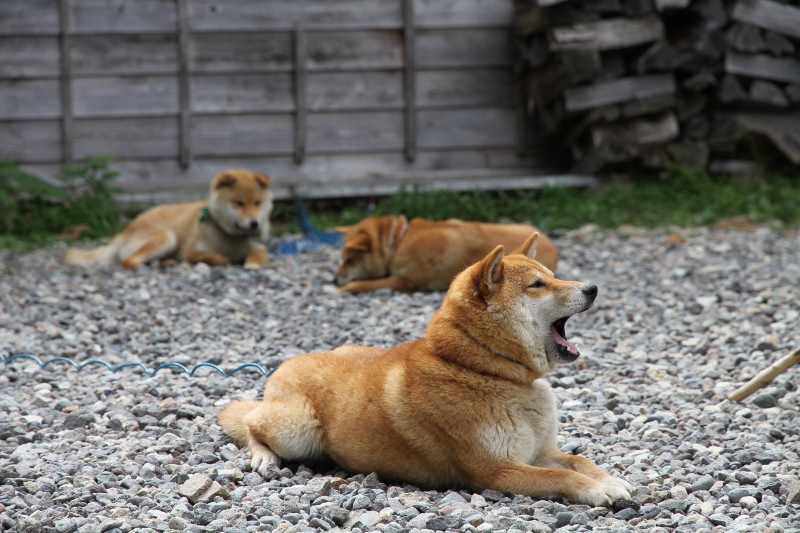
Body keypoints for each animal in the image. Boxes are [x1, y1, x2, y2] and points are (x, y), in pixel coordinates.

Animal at [63, 170, 276, 268]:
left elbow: (256, 256)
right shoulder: (191, 251)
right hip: (167, 237)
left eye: (257, 203)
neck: (230, 237)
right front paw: (222, 259)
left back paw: (167, 263)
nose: (254, 223)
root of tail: (123, 233)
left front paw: (251, 265)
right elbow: (211, 258)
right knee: (128, 260)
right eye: (239, 203)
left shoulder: (259, 248)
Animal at [219, 234, 632, 508]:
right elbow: (561, 475)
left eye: (552, 275)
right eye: (537, 285)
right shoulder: (497, 471)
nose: (593, 288)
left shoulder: (540, 451)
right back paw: (263, 456)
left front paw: (611, 480)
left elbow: (580, 461)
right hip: (298, 430)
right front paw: (598, 490)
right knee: (250, 423)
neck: (484, 370)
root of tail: (286, 364)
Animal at [332, 214, 556, 294]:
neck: (398, 242)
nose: (334, 280)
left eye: (349, 260)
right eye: (342, 259)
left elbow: (363, 284)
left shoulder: (406, 281)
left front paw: (341, 289)